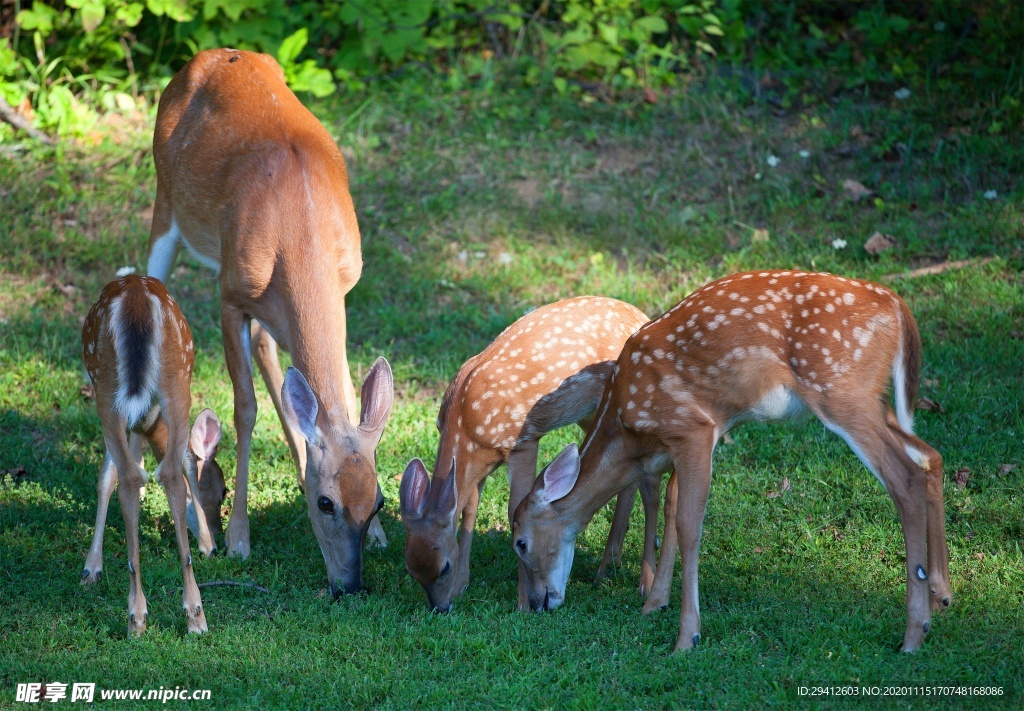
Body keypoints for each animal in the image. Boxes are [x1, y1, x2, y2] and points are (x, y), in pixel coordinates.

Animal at [80, 276, 226, 639]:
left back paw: (143, 615)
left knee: (141, 475)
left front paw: (92, 567)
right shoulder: (140, 417)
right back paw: (188, 615)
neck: (148, 426)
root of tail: (136, 297)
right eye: (222, 489)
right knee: (167, 471)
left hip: (109, 386)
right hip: (173, 379)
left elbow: (108, 475)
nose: (217, 541)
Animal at [146, 48, 393, 594]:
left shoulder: (344, 289)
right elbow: (245, 408)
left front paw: (382, 536)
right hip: (164, 207)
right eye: (326, 504)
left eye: (379, 500)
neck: (298, 227)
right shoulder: (230, 294)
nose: (350, 585)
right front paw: (238, 538)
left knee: (268, 348)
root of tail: (213, 55)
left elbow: (339, 394)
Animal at [399, 295, 655, 614]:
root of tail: (641, 315)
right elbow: (470, 509)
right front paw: (462, 586)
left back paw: (641, 581)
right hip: (592, 413)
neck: (466, 424)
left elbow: (513, 510)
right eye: (411, 570)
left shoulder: (523, 441)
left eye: (443, 567)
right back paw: (609, 567)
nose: (440, 608)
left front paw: (521, 603)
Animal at [512, 270, 950, 655]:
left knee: (906, 478)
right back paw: (941, 595)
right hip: (875, 402)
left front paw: (687, 637)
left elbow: (689, 525)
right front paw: (654, 604)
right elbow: (671, 506)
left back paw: (914, 635)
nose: (537, 603)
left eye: (521, 542)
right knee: (931, 456)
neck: (627, 427)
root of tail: (896, 305)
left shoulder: (692, 428)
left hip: (841, 390)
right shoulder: (691, 439)